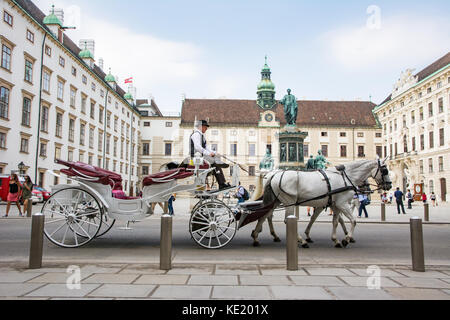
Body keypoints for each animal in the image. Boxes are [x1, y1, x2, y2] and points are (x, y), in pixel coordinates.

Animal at [251, 159, 392, 249]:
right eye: (385, 171)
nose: (389, 185)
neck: (345, 177)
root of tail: (273, 175)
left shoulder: (334, 205)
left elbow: (334, 221)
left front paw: (336, 240)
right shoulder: (342, 204)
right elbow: (353, 220)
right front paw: (346, 239)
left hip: (276, 201)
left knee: (265, 216)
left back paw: (257, 236)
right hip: (289, 202)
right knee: (284, 220)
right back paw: (301, 241)